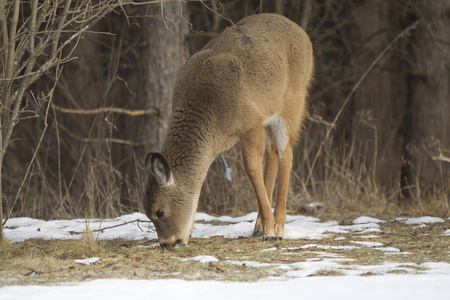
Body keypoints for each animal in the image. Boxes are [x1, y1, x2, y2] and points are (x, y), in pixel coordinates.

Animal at [144, 12, 312, 247]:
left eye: (159, 211)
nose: (167, 243)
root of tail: (302, 33)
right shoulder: (253, 125)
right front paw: (188, 235)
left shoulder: (250, 123)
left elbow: (252, 169)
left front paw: (270, 230)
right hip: (270, 115)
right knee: (272, 154)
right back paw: (258, 227)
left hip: (293, 101)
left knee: (286, 154)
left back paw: (277, 228)